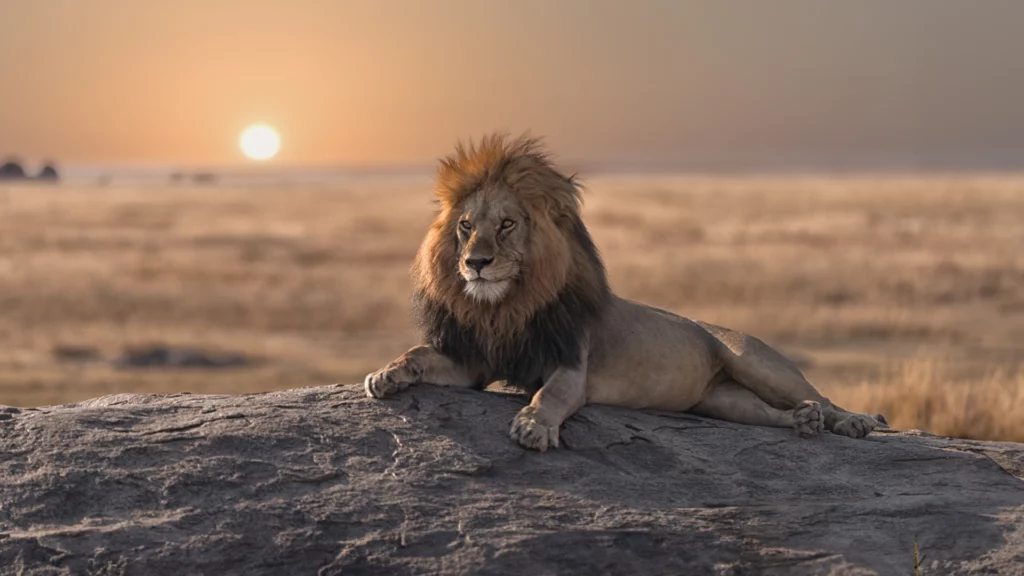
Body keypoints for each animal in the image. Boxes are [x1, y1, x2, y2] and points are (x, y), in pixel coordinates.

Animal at [365, 133, 883, 451]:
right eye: (467, 227)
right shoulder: (475, 362)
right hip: (721, 401)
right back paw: (801, 422)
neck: (506, 306)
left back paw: (851, 421)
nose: (475, 263)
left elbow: (550, 395)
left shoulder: (570, 365)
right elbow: (419, 353)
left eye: (508, 225)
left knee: (820, 396)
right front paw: (386, 375)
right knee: (772, 413)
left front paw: (533, 426)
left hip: (755, 361)